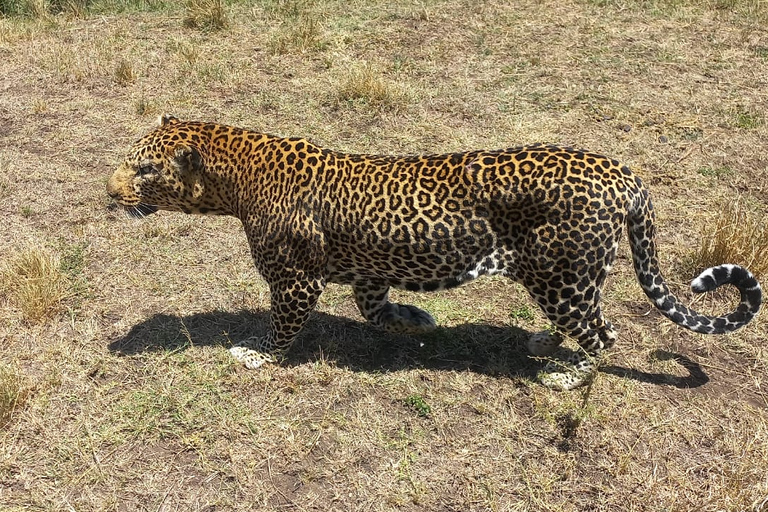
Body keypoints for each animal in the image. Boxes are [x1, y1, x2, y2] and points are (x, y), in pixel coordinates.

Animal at [106, 114, 760, 390]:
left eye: (143, 171)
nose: (109, 190)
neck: (235, 176)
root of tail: (622, 173)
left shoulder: (294, 281)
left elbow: (281, 328)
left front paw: (256, 355)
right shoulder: (368, 271)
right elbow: (376, 310)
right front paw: (418, 319)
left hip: (563, 276)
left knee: (604, 334)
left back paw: (569, 376)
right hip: (561, 279)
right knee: (586, 326)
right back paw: (545, 344)